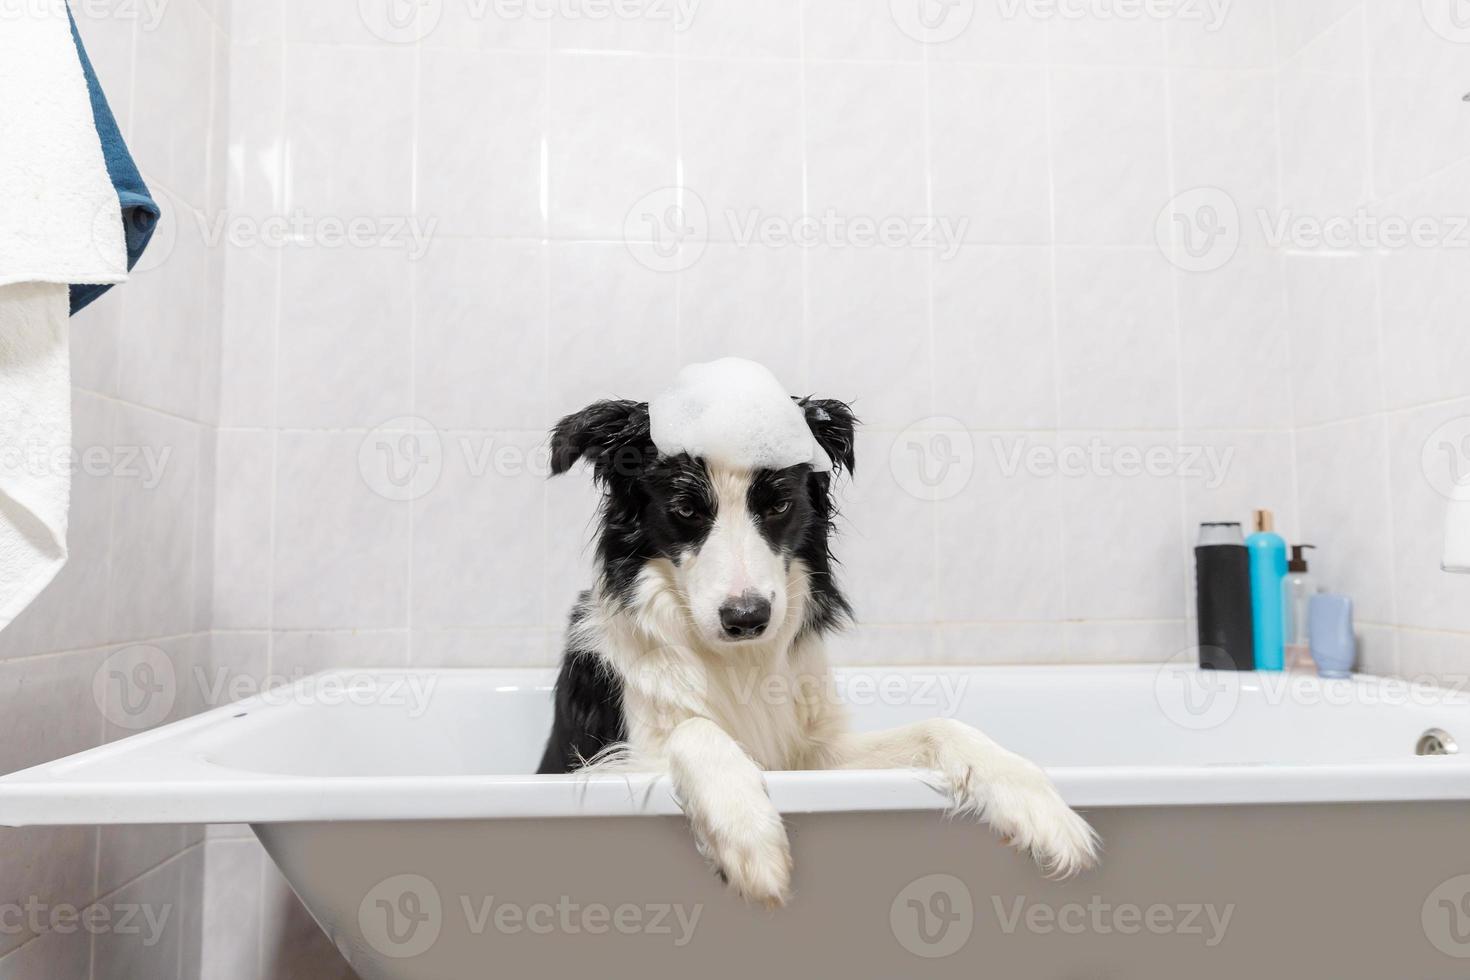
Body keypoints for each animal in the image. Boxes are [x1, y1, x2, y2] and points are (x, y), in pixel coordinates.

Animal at [538, 393, 1093, 910]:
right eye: (687, 509)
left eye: (779, 505)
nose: (747, 618)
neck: (739, 662)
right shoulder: (616, 754)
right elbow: (695, 729)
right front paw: (749, 835)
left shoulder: (814, 754)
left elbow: (941, 726)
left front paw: (1036, 803)